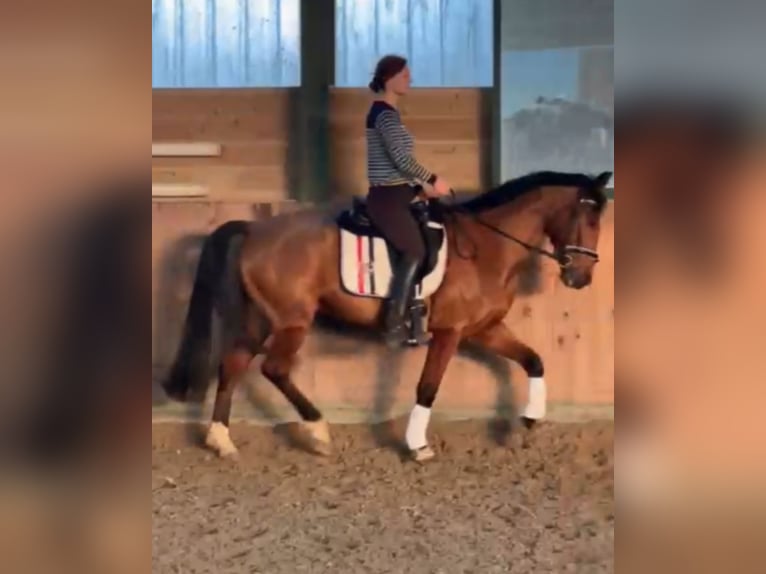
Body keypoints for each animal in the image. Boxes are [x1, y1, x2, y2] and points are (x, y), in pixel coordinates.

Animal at [165, 171, 616, 464]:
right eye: (590, 218)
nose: (581, 277)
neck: (485, 245)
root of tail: (255, 229)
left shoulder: (484, 328)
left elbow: (534, 360)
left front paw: (528, 420)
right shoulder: (450, 332)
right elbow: (428, 387)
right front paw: (417, 445)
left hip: (263, 318)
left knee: (233, 363)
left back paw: (221, 440)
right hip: (292, 320)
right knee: (273, 368)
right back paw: (318, 431)